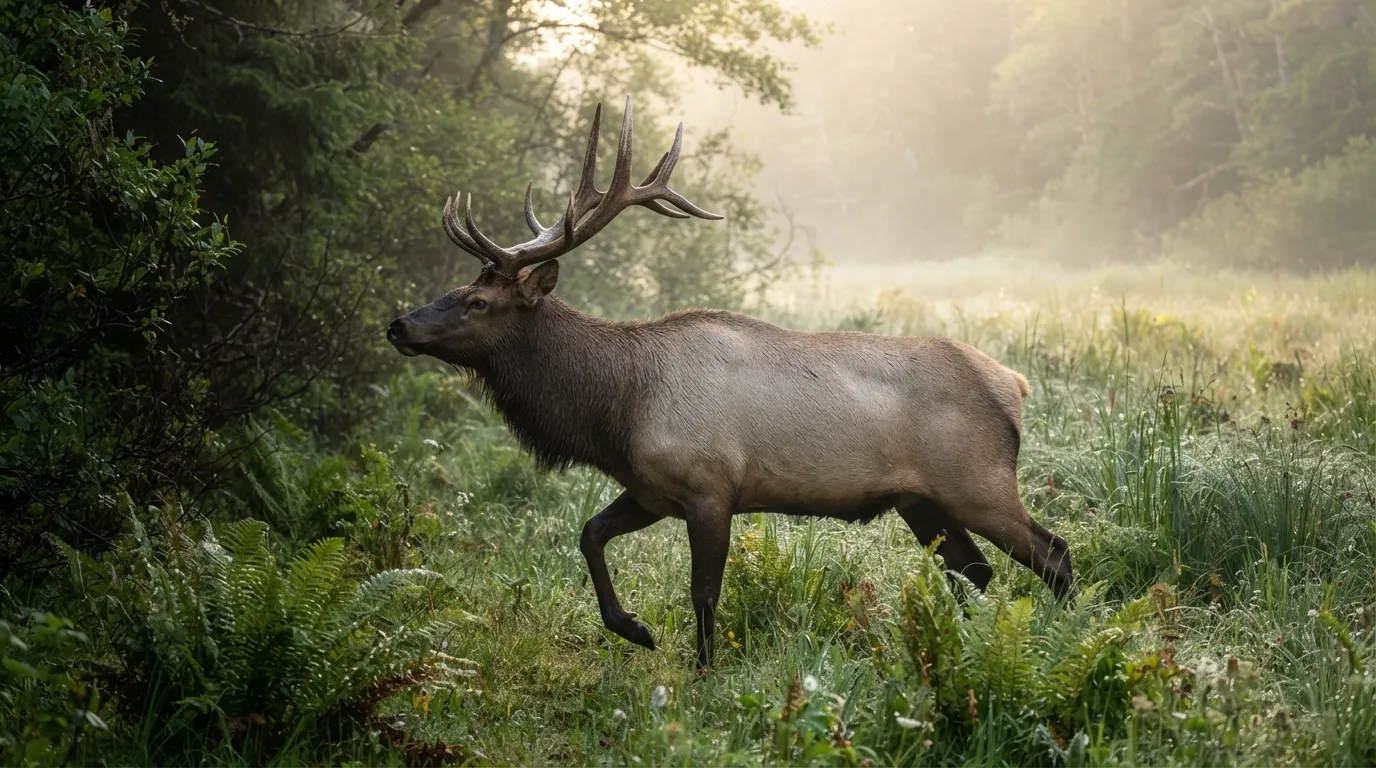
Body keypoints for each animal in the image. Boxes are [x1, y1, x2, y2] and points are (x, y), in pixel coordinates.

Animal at [387, 97, 1075, 670]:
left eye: (477, 301)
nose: (398, 324)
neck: (617, 410)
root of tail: (1015, 385)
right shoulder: (651, 490)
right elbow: (589, 534)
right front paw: (635, 629)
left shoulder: (710, 486)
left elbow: (704, 592)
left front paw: (703, 672)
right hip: (920, 500)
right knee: (975, 571)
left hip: (979, 483)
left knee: (1053, 552)